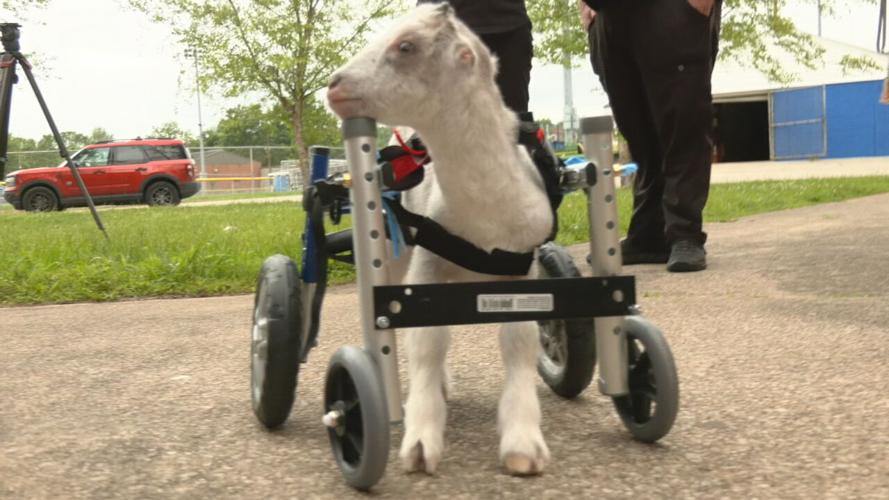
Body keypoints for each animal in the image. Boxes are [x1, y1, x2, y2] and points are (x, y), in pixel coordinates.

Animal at [327, 4, 553, 476]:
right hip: (392, 247)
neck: (482, 221)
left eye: (406, 46)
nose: (334, 85)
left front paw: (523, 445)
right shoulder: (426, 262)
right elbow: (427, 342)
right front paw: (419, 441)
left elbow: (519, 341)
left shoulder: (522, 268)